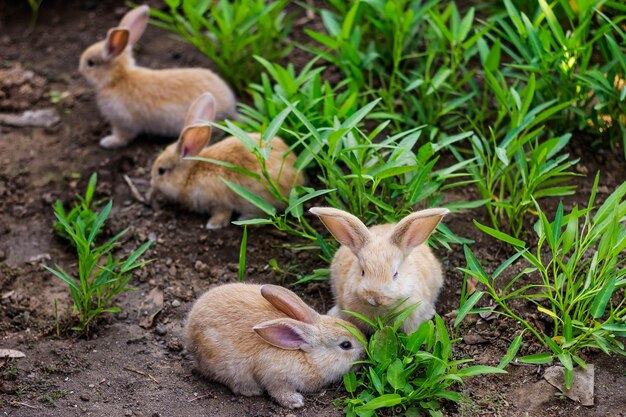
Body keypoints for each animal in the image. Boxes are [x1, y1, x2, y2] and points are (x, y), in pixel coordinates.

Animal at [78, 4, 234, 148]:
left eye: (90, 63)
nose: (80, 69)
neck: (117, 79)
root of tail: (231, 105)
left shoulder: (122, 122)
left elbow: (124, 136)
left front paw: (108, 142)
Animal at [147, 92, 302, 228]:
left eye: (161, 171)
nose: (152, 186)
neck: (189, 175)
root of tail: (298, 177)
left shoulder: (218, 201)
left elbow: (223, 212)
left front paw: (213, 225)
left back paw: (245, 219)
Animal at [183, 282, 364, 408]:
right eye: (346, 345)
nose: (364, 353)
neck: (308, 358)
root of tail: (190, 329)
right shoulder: (275, 376)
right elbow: (277, 391)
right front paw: (295, 402)